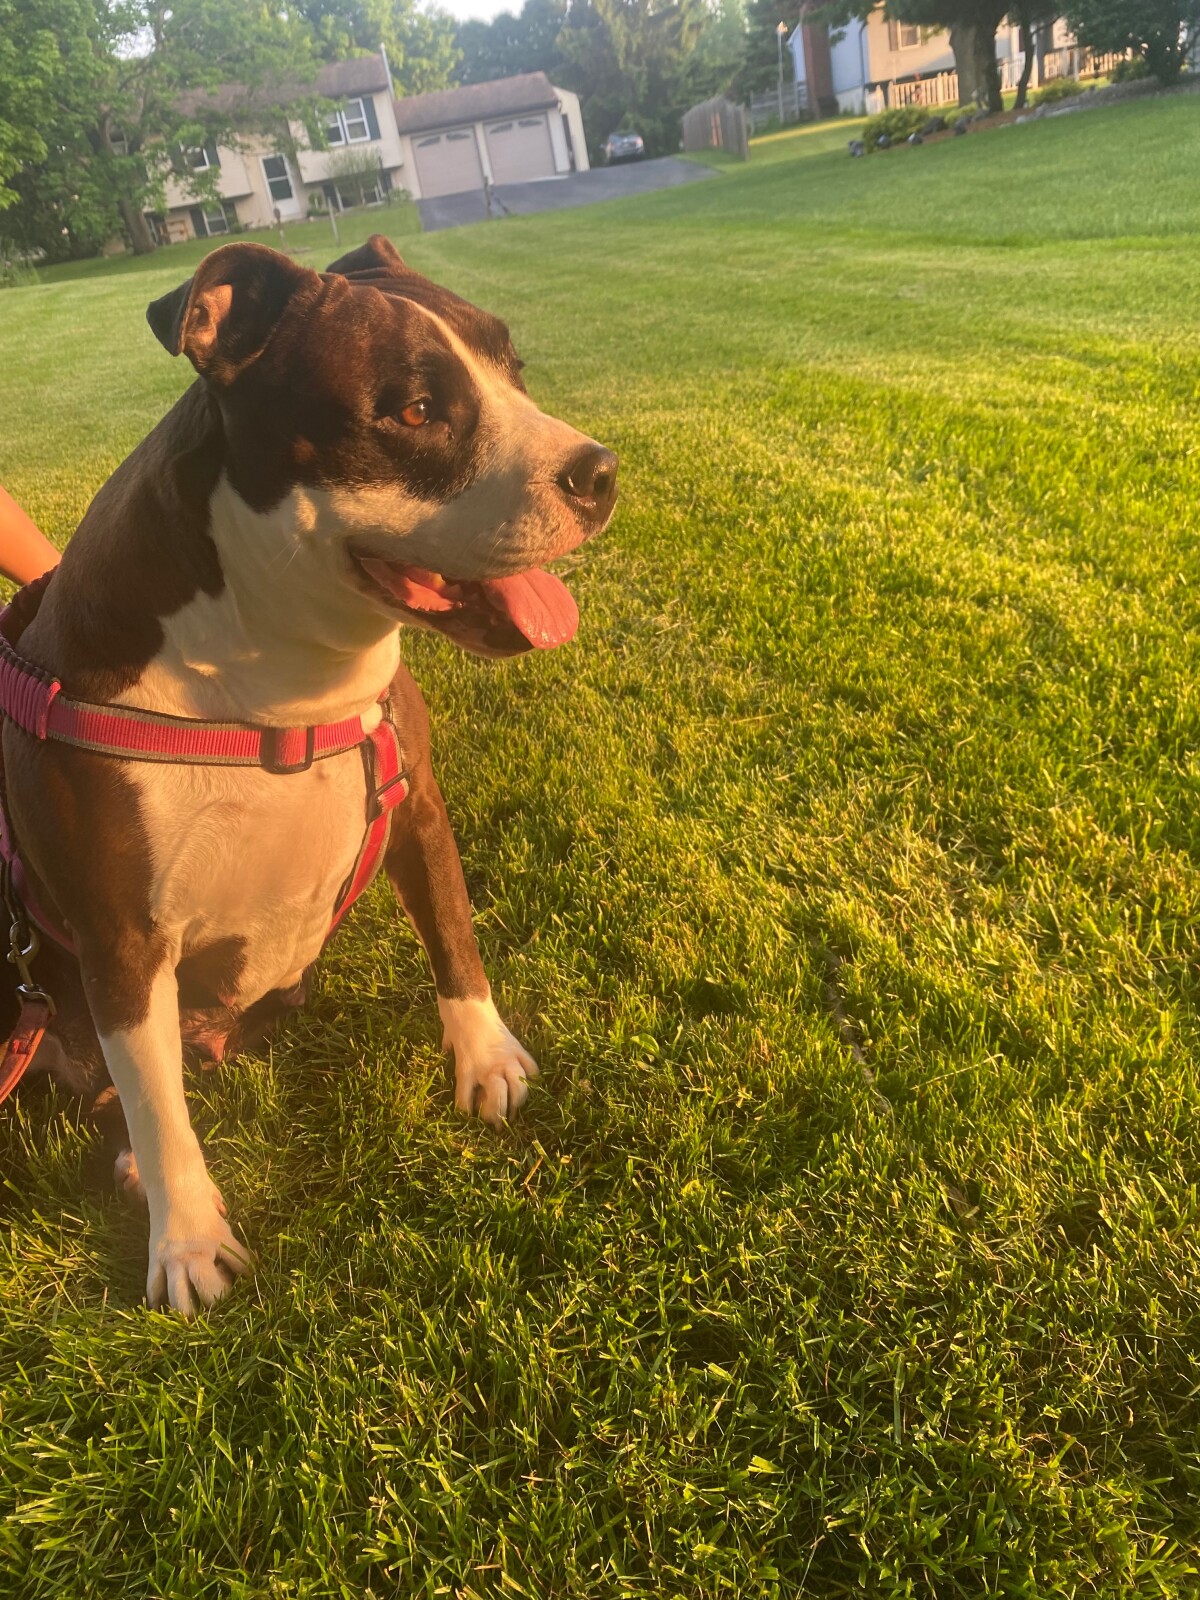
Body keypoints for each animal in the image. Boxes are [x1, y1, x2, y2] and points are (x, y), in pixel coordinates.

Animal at [2, 234, 616, 1315]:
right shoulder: (121, 939)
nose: (601, 472)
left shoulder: (419, 812)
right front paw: (187, 1239)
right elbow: (158, 1107)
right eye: (412, 410)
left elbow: (455, 937)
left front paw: (485, 1057)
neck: (267, 687)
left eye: (515, 369)